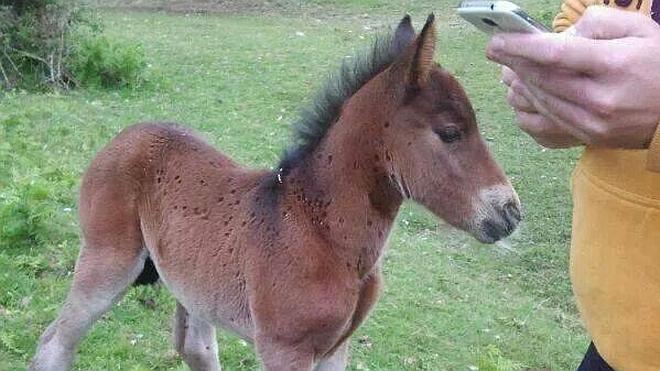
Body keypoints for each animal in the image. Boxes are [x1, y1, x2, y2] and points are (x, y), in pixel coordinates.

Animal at [29, 15, 520, 371]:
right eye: (450, 133)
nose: (511, 212)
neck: (322, 233)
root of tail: (124, 136)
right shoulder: (286, 350)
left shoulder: (336, 350)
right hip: (108, 260)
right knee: (55, 343)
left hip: (191, 282)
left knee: (194, 348)